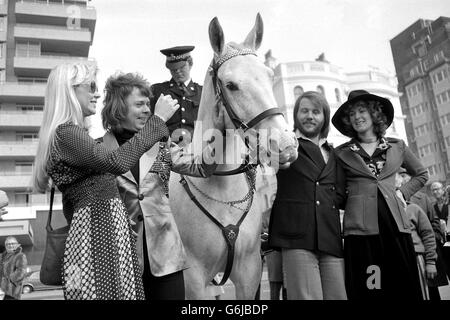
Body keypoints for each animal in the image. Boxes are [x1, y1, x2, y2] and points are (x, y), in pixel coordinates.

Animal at [170, 13, 298, 300]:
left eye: (269, 75)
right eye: (231, 85)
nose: (285, 145)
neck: (220, 188)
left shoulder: (250, 271)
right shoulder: (193, 279)